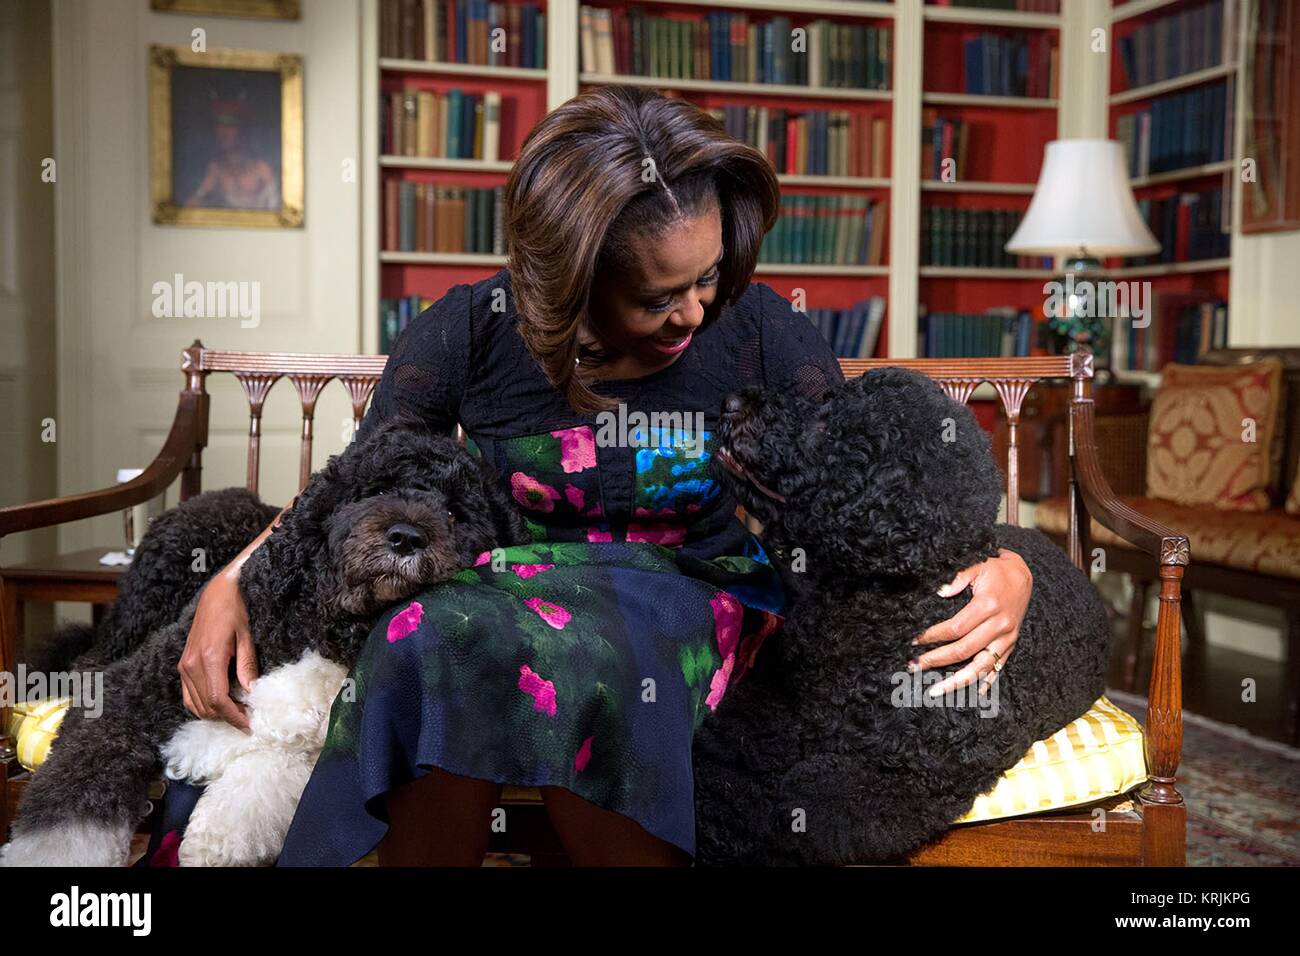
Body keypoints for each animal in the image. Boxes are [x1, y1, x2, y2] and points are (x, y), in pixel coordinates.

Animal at [3, 418, 527, 868]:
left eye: (456, 514)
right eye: (376, 490)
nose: (406, 537)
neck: (322, 624)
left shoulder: (319, 742)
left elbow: (268, 774)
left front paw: (215, 831)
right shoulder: (126, 697)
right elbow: (71, 809)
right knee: (87, 659)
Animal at [696, 369, 1112, 863]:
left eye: (828, 426)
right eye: (826, 399)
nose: (729, 402)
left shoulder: (918, 772)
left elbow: (803, 807)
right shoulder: (770, 710)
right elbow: (723, 774)